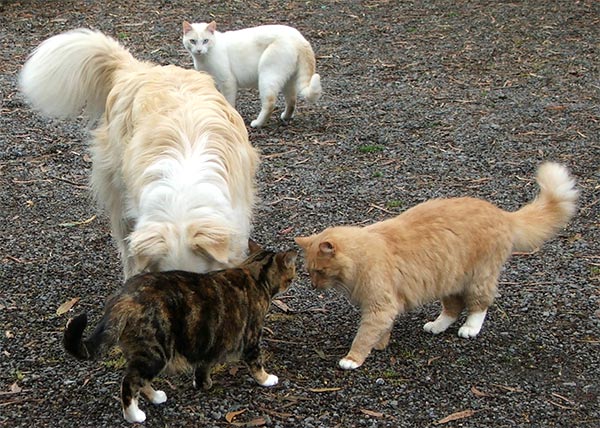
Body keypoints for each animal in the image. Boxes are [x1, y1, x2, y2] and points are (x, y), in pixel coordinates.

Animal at [62, 246, 296, 422]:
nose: (293, 279)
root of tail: (124, 298)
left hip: (142, 352)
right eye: (291, 274)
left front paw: (203, 384)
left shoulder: (209, 341)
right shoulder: (250, 338)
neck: (254, 274)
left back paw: (156, 397)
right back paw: (134, 415)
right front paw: (266, 379)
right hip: (156, 351)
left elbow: (203, 367)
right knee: (129, 382)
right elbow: (256, 363)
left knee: (139, 380)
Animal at [183, 20, 324, 127]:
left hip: (267, 76)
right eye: (193, 41)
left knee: (270, 103)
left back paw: (258, 123)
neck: (203, 58)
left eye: (205, 41)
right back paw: (286, 117)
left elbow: (228, 102)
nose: (199, 50)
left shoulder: (227, 81)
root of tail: (300, 39)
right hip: (288, 81)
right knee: (292, 100)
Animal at [296, 162, 576, 370]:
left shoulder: (379, 306)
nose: (314, 286)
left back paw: (470, 329)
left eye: (319, 272)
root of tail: (502, 214)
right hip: (448, 280)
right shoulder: (386, 305)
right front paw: (381, 344)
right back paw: (436, 326)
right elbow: (381, 330)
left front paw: (353, 358)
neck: (365, 255)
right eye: (309, 273)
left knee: (479, 305)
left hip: (478, 278)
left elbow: (364, 334)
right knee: (453, 308)